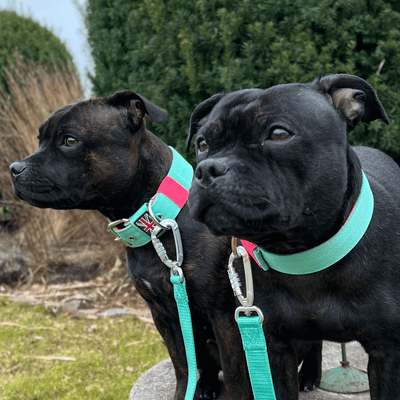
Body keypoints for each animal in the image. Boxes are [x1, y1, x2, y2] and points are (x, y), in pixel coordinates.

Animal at [8, 91, 322, 400]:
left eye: (70, 140)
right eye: (39, 139)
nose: (14, 168)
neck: (158, 222)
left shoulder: (225, 316)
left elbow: (235, 376)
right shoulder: (164, 316)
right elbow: (182, 365)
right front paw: (187, 392)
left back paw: (309, 375)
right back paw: (205, 386)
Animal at [187, 73, 400, 398]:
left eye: (278, 134)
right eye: (202, 144)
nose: (207, 169)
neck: (303, 256)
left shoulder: (387, 353)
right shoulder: (272, 348)